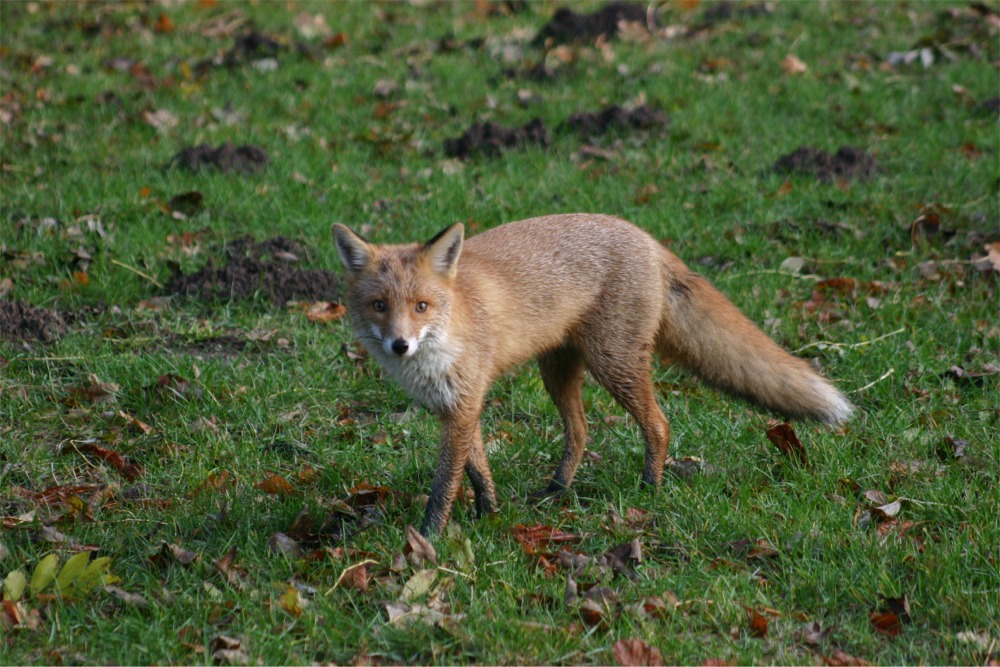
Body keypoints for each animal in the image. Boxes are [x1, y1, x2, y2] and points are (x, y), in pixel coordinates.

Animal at [334, 214, 852, 536]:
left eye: (421, 306)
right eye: (379, 306)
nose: (400, 344)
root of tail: (645, 237)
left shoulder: (463, 406)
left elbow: (446, 483)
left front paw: (429, 540)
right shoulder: (459, 407)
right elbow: (479, 471)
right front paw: (490, 516)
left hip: (613, 363)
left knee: (658, 423)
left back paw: (650, 488)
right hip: (557, 369)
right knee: (581, 431)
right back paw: (557, 489)